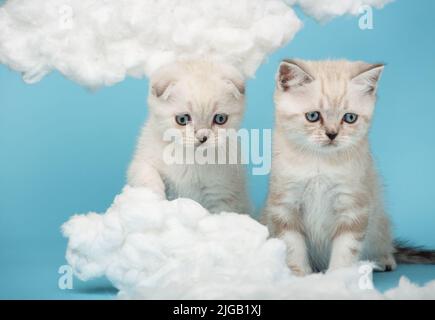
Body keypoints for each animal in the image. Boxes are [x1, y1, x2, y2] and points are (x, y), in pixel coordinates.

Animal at [127, 60, 250, 215]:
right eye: (182, 119)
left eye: (220, 119)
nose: (202, 137)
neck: (189, 158)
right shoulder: (142, 161)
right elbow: (148, 176)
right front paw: (156, 201)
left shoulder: (222, 192)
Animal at [262, 59, 435, 276]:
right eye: (313, 116)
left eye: (350, 118)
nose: (332, 134)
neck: (320, 163)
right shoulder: (284, 203)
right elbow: (292, 245)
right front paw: (299, 275)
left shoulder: (353, 204)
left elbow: (346, 248)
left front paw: (338, 277)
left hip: (379, 220)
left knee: (386, 245)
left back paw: (383, 260)